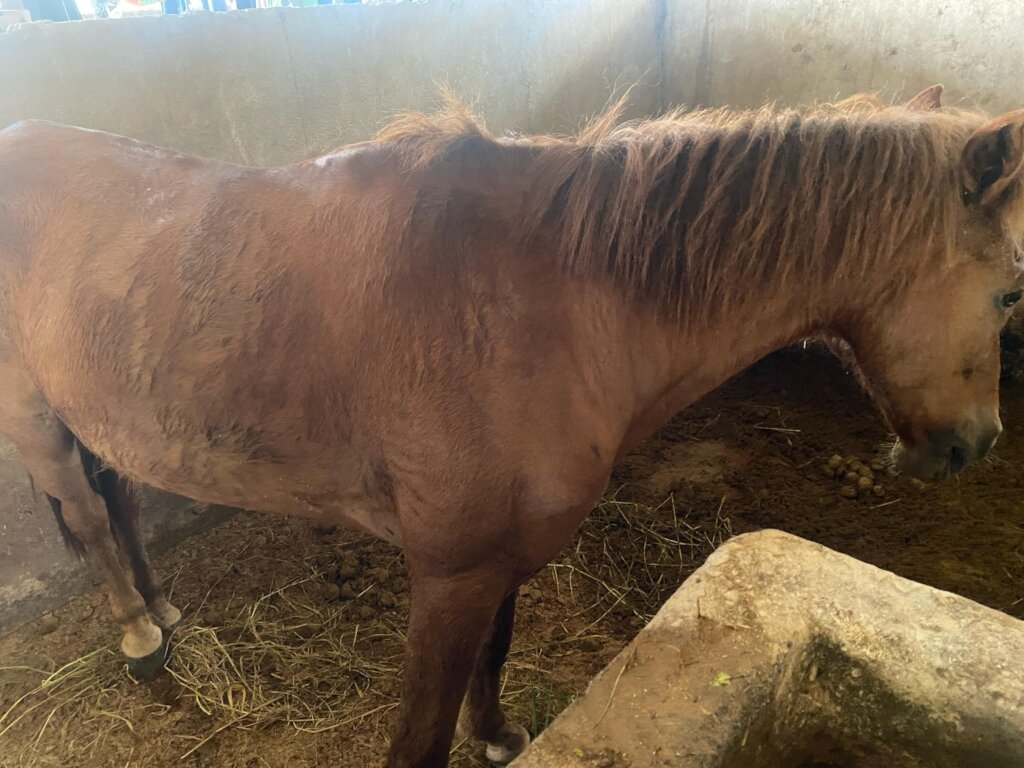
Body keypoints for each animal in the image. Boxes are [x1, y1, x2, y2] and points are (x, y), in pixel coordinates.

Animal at [0, 84, 1022, 767]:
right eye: (1011, 289)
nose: (975, 443)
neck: (552, 306)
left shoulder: (503, 557)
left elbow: (495, 654)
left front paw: (495, 735)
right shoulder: (448, 574)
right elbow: (420, 732)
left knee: (122, 502)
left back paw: (162, 607)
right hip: (36, 417)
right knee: (88, 517)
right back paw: (140, 637)